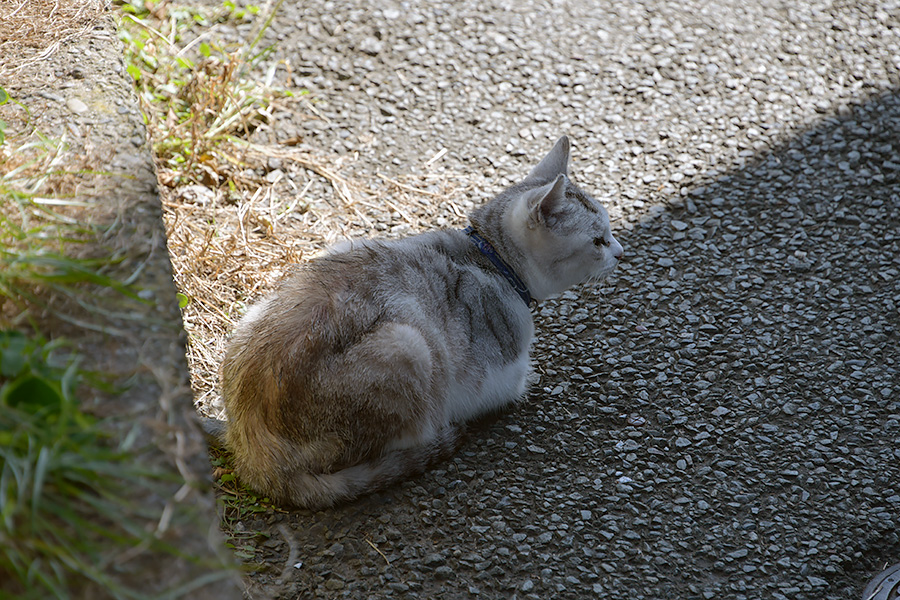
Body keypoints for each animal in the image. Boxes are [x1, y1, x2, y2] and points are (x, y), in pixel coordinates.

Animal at [219, 137, 624, 510]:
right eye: (598, 241)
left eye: (610, 234)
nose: (621, 252)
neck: (491, 257)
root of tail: (253, 458)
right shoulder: (491, 382)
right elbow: (518, 381)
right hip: (408, 346)